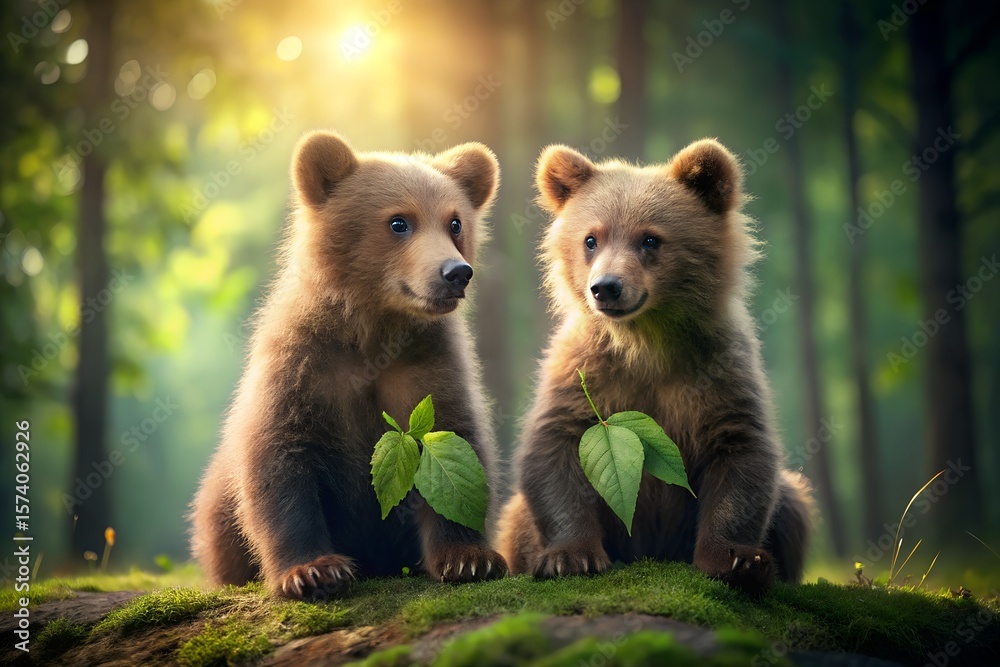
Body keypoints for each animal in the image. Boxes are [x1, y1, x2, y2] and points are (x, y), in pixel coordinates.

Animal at [190, 130, 508, 599]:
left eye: (455, 222)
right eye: (399, 222)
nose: (456, 272)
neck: (372, 328)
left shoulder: (426, 366)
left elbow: (454, 448)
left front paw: (470, 558)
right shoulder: (304, 366)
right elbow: (280, 460)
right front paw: (313, 570)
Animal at [496, 139, 813, 596]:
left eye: (650, 238)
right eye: (590, 239)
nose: (606, 287)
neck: (646, 342)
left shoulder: (719, 372)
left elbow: (741, 455)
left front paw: (738, 560)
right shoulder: (584, 374)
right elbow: (554, 447)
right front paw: (569, 557)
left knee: (792, 504)